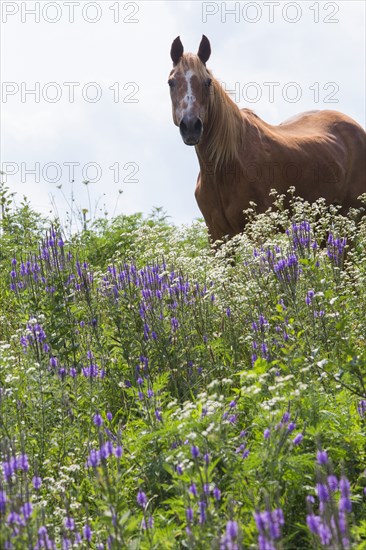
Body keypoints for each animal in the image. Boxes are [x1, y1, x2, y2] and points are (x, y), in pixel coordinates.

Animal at [168, 36, 366, 244]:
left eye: (207, 82)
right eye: (171, 82)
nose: (191, 126)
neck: (223, 168)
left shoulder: (259, 231)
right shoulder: (217, 238)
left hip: (349, 218)